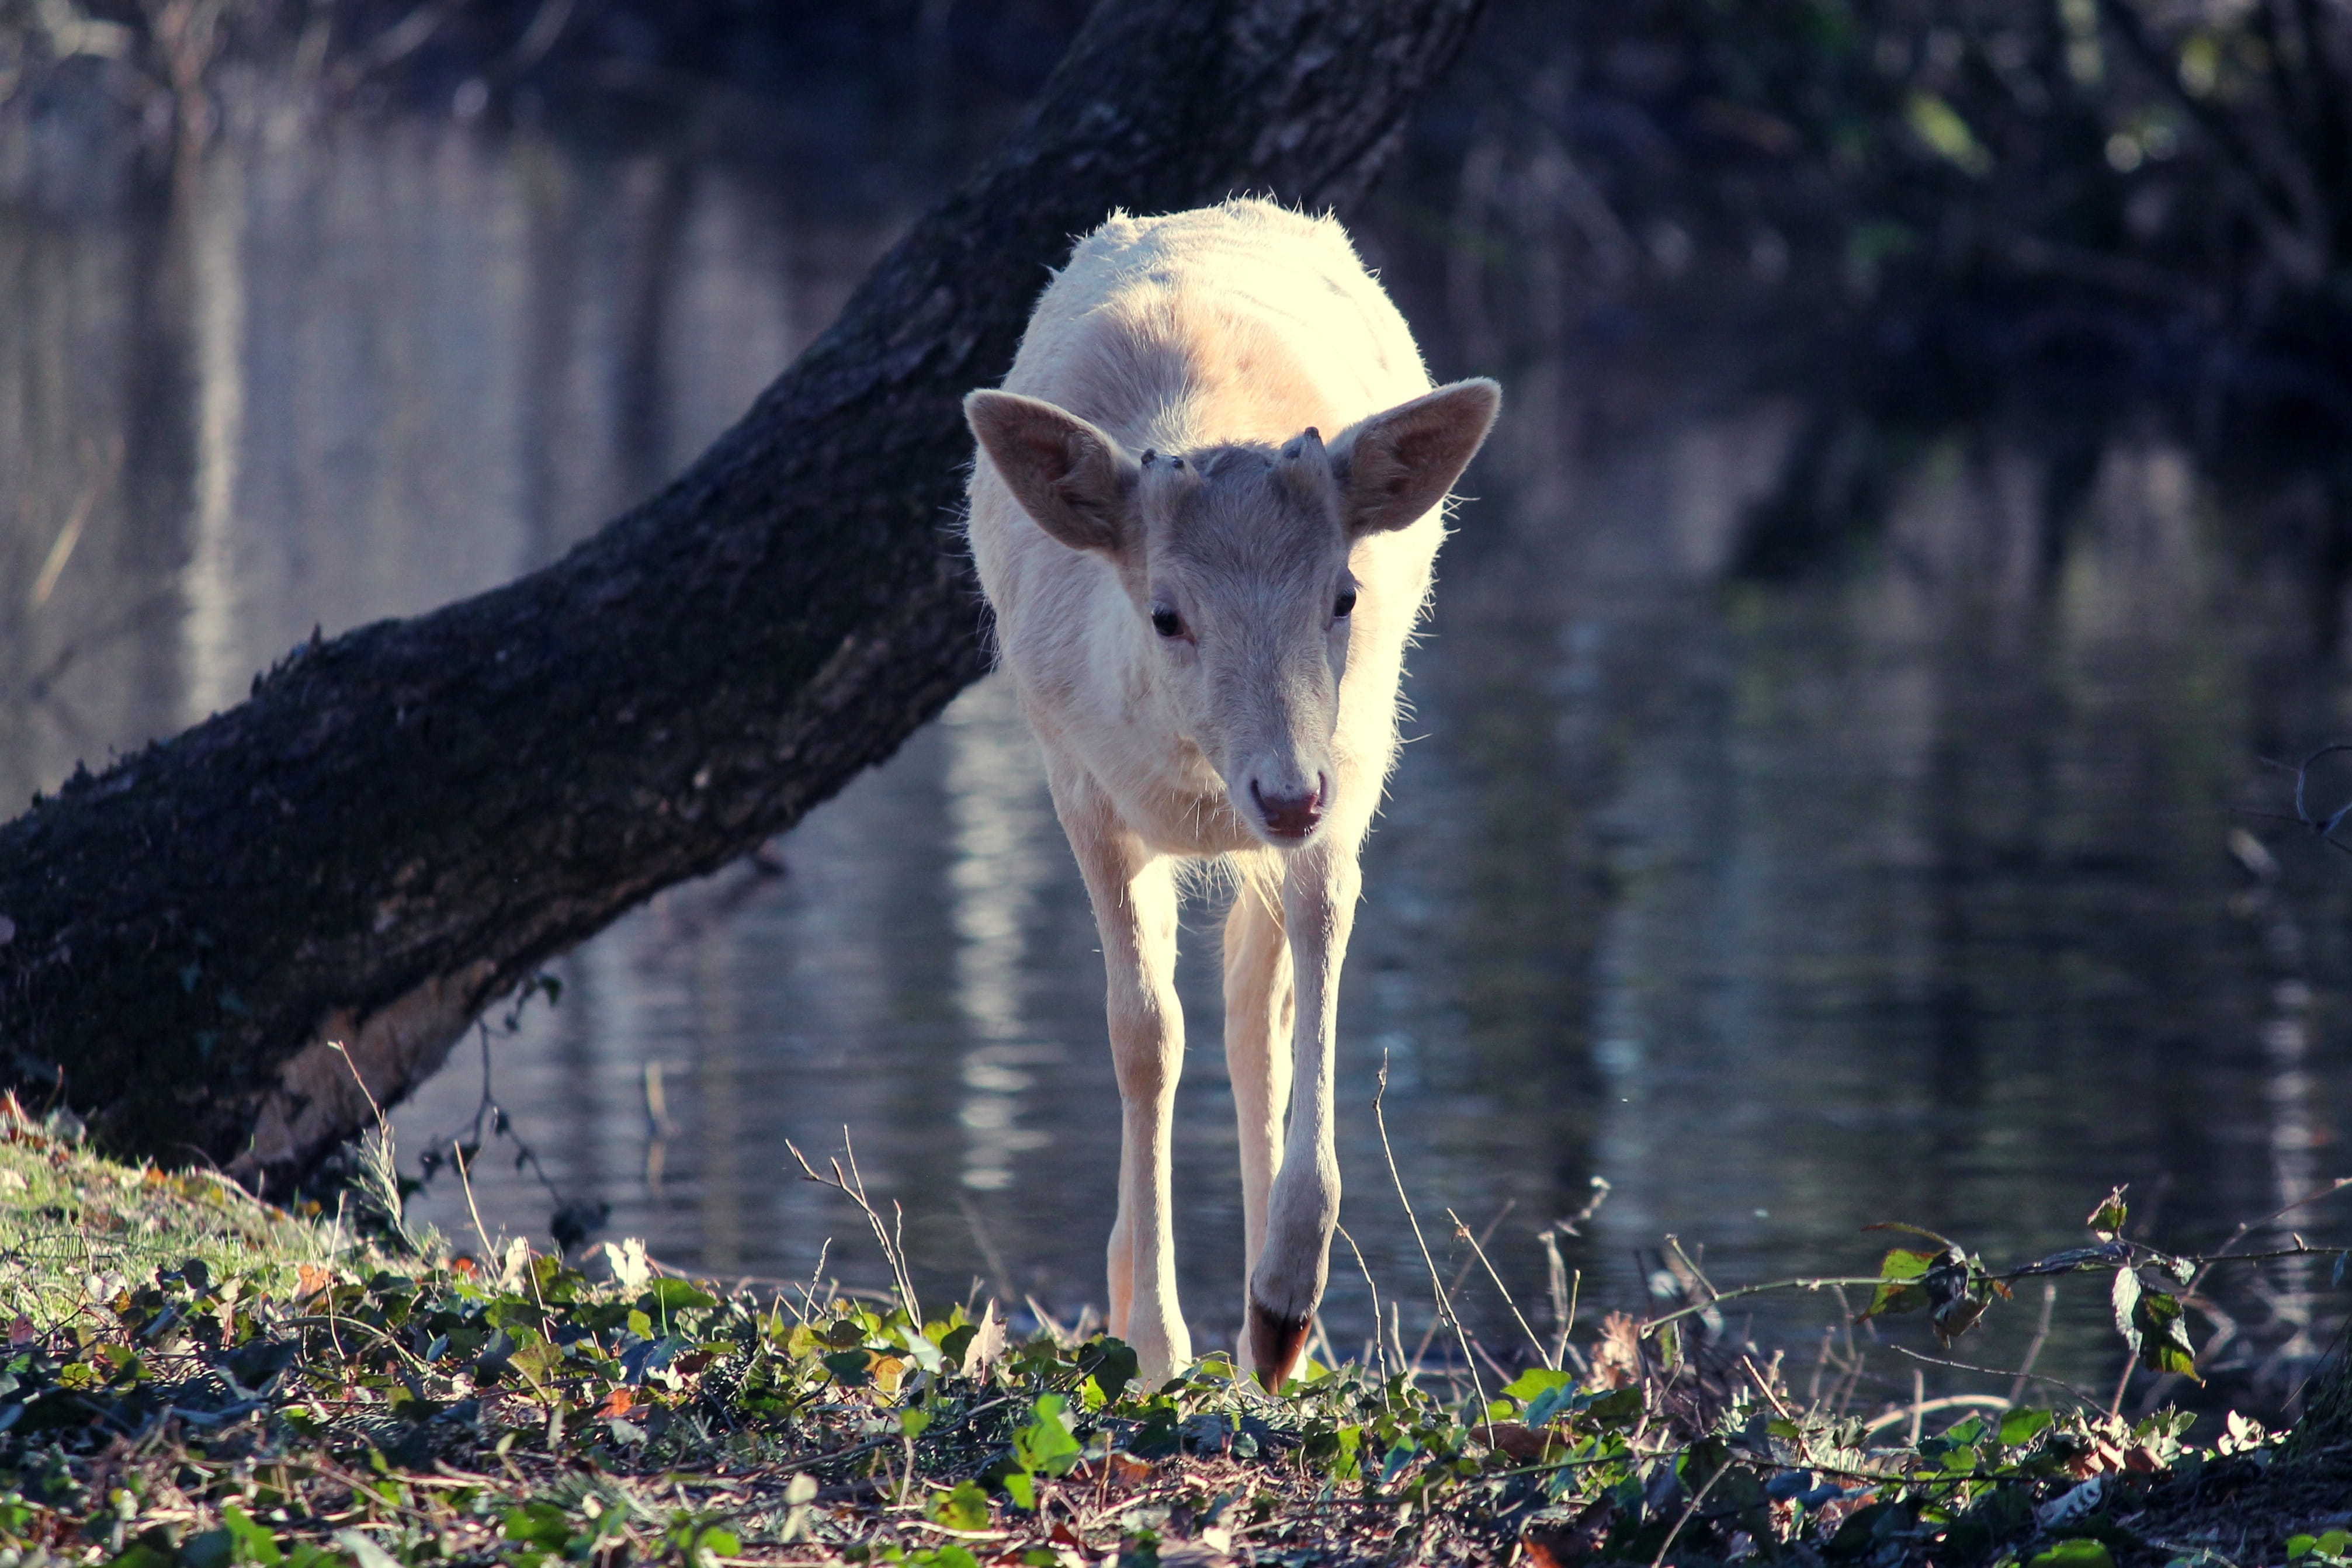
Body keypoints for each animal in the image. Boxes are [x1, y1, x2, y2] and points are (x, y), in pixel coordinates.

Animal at [961, 198, 1499, 1392]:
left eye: (1342, 594)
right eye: (1166, 613)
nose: (1284, 794)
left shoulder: (1351, 765)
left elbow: (1310, 986)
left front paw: (1283, 1306)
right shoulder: (1079, 783)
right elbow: (1142, 1034)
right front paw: (1157, 1348)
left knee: (1258, 1008)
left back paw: (1276, 1335)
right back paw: (1133, 1290)